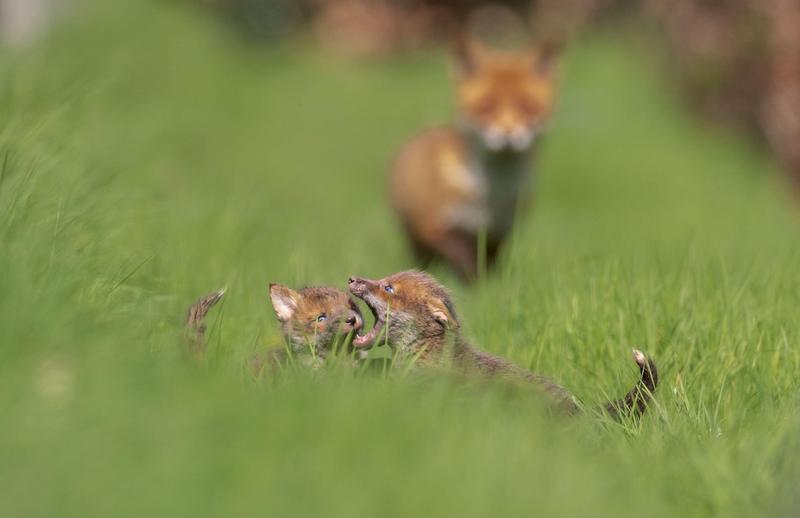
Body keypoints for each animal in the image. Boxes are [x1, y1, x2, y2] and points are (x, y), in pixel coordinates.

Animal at [390, 28, 560, 280]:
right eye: (486, 106)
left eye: (527, 106)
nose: (508, 133)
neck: (491, 195)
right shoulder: (435, 225)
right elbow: (463, 258)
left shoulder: (500, 232)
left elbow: (489, 267)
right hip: (416, 239)